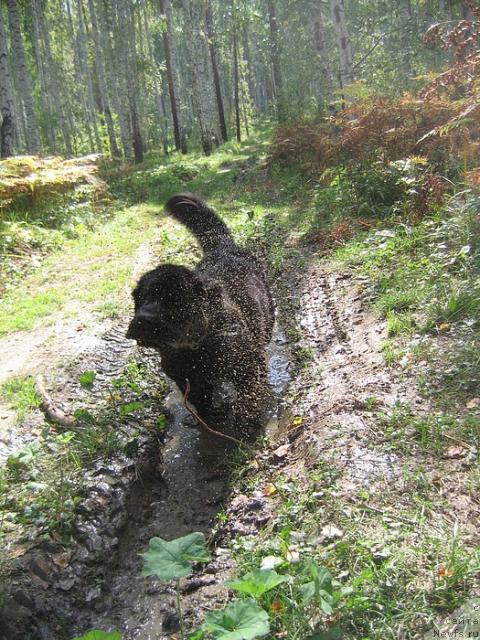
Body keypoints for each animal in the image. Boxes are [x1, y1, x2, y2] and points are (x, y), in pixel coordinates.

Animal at [125, 194, 276, 440]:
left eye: (175, 300)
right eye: (142, 298)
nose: (144, 319)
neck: (195, 347)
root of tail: (223, 246)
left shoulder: (245, 365)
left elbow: (248, 397)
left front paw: (246, 426)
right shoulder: (186, 379)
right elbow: (202, 402)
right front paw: (214, 418)